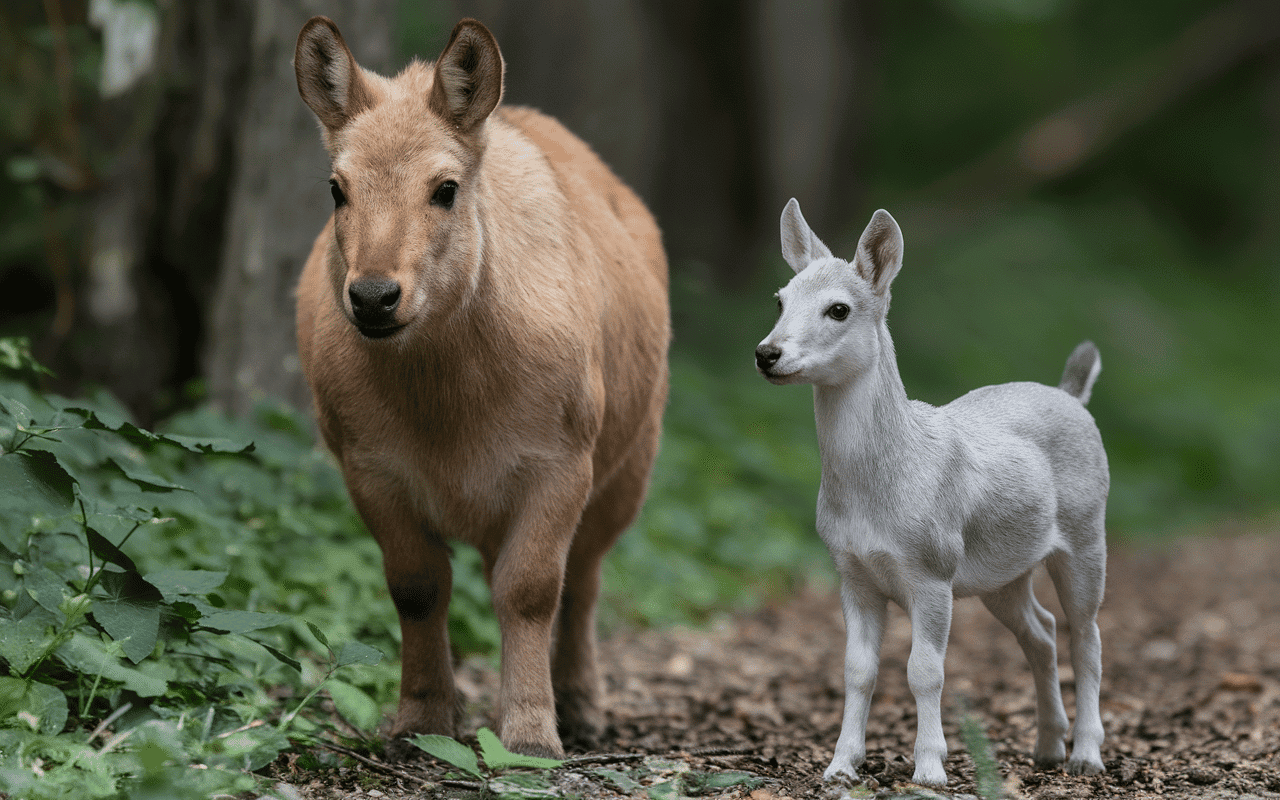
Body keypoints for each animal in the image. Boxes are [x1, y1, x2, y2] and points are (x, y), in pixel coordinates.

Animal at [292, 17, 670, 758]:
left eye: (445, 187)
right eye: (335, 187)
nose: (374, 296)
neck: (449, 405)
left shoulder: (562, 461)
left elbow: (531, 590)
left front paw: (530, 733)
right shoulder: (368, 466)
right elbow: (416, 587)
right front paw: (421, 719)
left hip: (632, 466)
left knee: (586, 581)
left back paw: (582, 704)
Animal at [755, 199, 1108, 786]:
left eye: (838, 309)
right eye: (780, 298)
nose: (767, 353)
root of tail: (1073, 395)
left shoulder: (933, 568)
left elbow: (925, 670)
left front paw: (929, 770)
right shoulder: (851, 570)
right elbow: (857, 669)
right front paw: (840, 767)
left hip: (1087, 533)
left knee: (1087, 635)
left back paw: (1085, 754)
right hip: (1001, 573)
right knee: (1042, 630)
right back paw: (1046, 747)